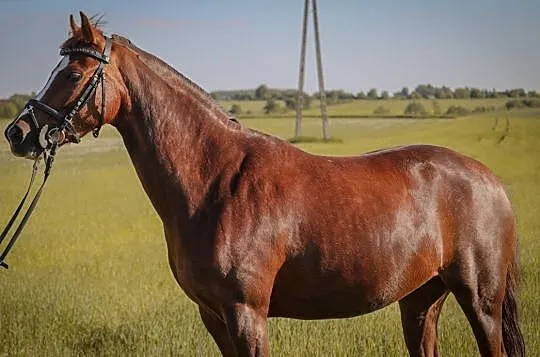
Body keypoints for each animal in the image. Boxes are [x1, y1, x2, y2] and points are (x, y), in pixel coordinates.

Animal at [3, 12, 524, 354]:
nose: (18, 133)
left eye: (73, 72)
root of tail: (489, 180)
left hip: (481, 301)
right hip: (420, 301)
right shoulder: (214, 316)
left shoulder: (246, 314)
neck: (215, 181)